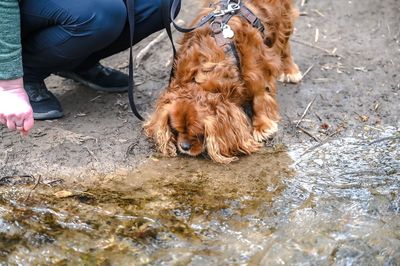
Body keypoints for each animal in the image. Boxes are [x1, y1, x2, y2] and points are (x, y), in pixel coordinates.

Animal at [143, 0, 300, 163]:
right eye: (175, 129)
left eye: (198, 132)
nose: (184, 147)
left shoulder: (256, 72)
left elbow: (260, 97)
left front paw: (262, 127)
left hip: (283, 17)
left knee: (284, 43)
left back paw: (290, 70)